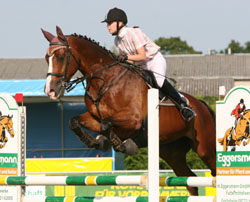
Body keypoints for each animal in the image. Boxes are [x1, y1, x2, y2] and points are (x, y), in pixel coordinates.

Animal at [41, 26, 217, 195]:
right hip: (172, 152)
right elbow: (76, 122)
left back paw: (187, 111)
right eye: (46, 57)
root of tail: (202, 105)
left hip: (205, 148)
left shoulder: (133, 119)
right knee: (190, 180)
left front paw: (122, 144)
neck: (106, 80)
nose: (50, 90)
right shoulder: (94, 117)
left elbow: (107, 125)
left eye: (61, 56)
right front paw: (97, 141)